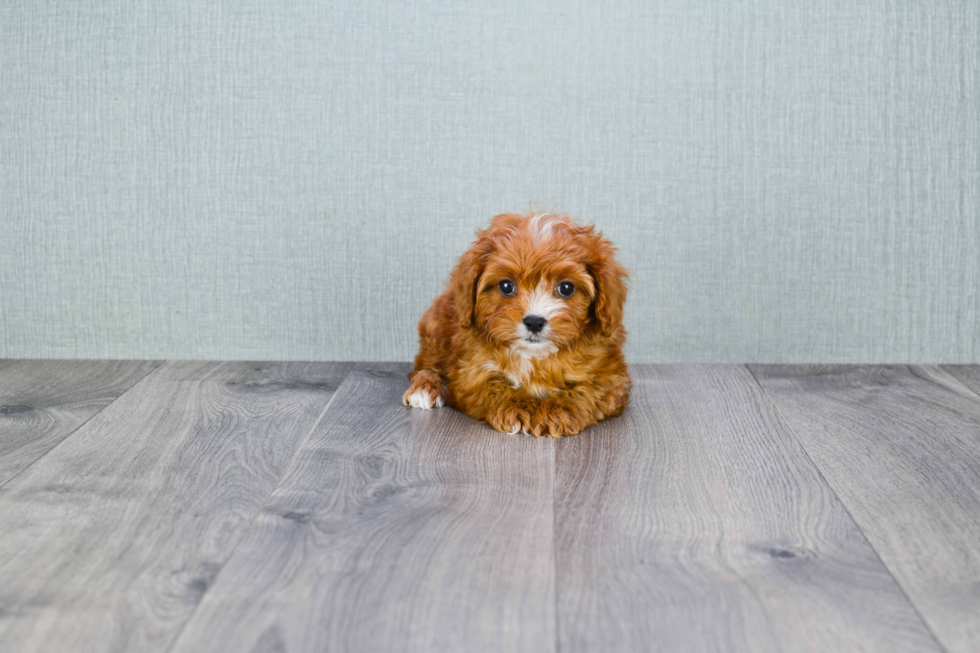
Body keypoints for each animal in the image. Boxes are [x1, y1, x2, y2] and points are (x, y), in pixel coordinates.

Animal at [402, 211, 632, 436]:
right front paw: (515, 407)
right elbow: (490, 386)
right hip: (435, 329)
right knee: (424, 365)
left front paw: (556, 410)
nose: (534, 322)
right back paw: (425, 387)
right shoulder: (469, 372)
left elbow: (588, 391)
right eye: (506, 286)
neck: (535, 356)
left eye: (566, 288)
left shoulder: (611, 377)